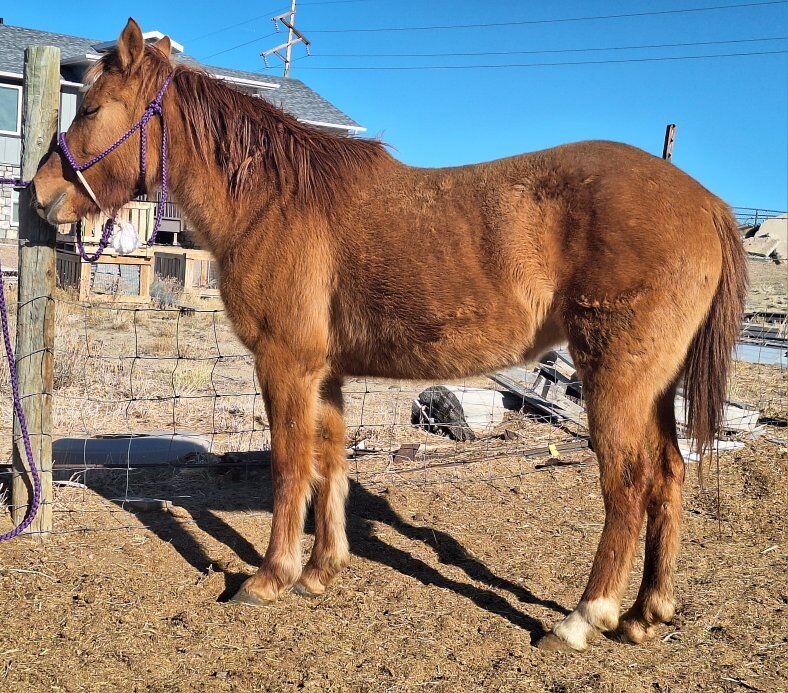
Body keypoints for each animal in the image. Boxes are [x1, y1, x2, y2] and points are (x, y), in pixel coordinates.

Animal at [32, 19, 747, 653]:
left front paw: (270, 578)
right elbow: (329, 464)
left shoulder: (285, 365)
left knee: (627, 486)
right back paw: (646, 614)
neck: (275, 202)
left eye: (91, 107)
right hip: (655, 387)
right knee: (669, 477)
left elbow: (291, 467)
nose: (39, 194)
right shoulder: (325, 373)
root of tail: (706, 203)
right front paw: (320, 571)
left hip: (616, 381)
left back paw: (581, 619)